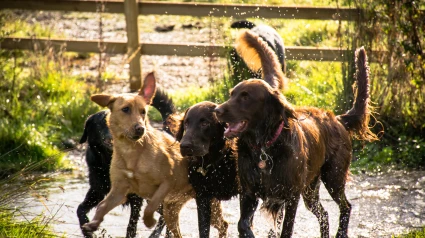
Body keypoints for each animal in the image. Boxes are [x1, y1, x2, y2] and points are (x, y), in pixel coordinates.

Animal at [77, 88, 175, 237]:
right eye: (101, 123)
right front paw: (87, 229)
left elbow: (131, 226)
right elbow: (80, 209)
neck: (109, 159)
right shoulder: (98, 190)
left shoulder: (136, 198)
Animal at [215, 28, 378, 237]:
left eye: (245, 97)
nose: (217, 110)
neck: (265, 146)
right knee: (324, 214)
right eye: (231, 94)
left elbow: (286, 228)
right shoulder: (249, 192)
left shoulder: (291, 195)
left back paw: (340, 233)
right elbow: (243, 224)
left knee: (345, 206)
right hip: (310, 190)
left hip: (333, 177)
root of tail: (338, 119)